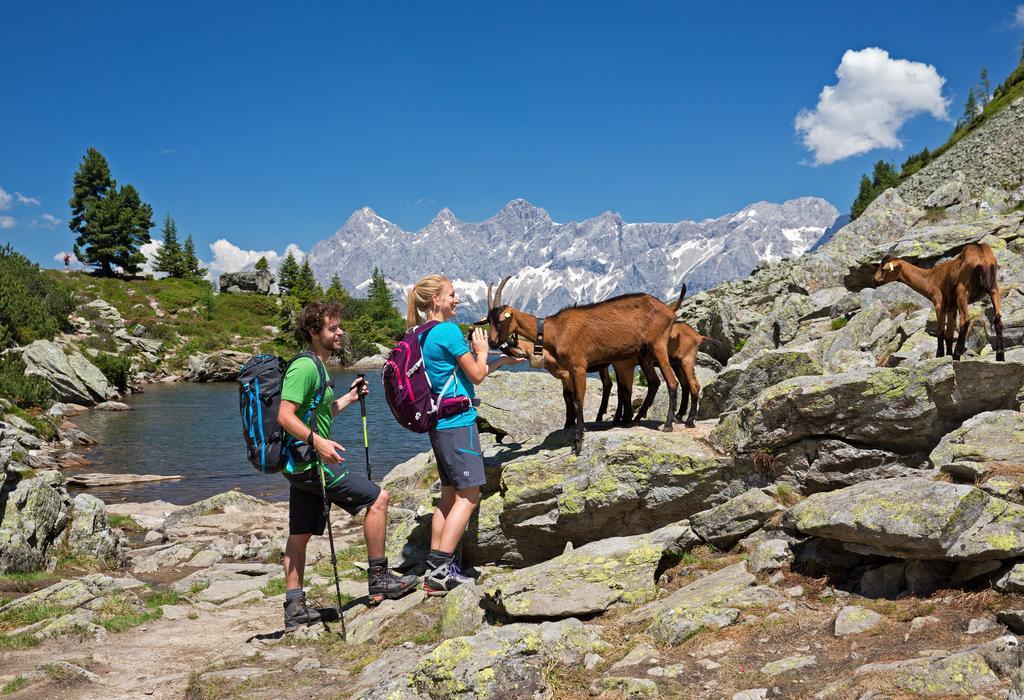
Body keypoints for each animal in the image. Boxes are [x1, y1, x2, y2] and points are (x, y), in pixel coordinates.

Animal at [477, 274, 679, 454]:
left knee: (671, 381)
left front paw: (578, 442)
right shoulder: (569, 371)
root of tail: (669, 311)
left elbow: (578, 401)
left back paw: (668, 424)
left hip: (657, 346)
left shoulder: (578, 367)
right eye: (489, 320)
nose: (493, 342)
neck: (555, 330)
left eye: (501, 320)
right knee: (654, 382)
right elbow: (571, 398)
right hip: (644, 355)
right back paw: (635, 419)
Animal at [872, 241, 1007, 360]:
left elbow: (941, 332)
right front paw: (948, 355)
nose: (874, 280)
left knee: (965, 321)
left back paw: (957, 354)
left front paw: (940, 355)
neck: (931, 277)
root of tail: (981, 254)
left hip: (962, 292)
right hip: (994, 289)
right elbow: (949, 334)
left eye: (883, 269)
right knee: (998, 318)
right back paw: (1000, 356)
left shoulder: (939, 305)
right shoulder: (952, 308)